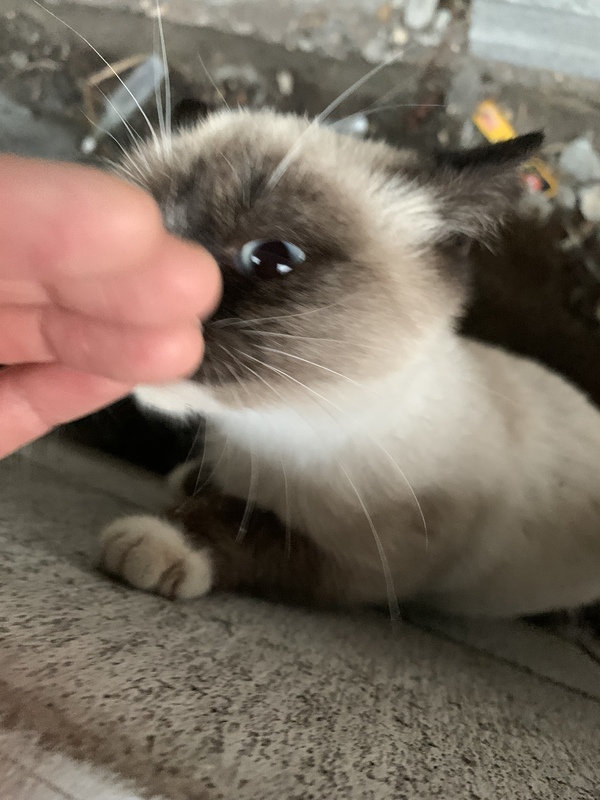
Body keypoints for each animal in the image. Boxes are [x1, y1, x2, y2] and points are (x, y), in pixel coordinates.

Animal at [99, 106, 600, 619]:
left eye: (271, 258)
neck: (262, 434)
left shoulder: (361, 569)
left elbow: (251, 524)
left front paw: (166, 540)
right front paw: (193, 485)